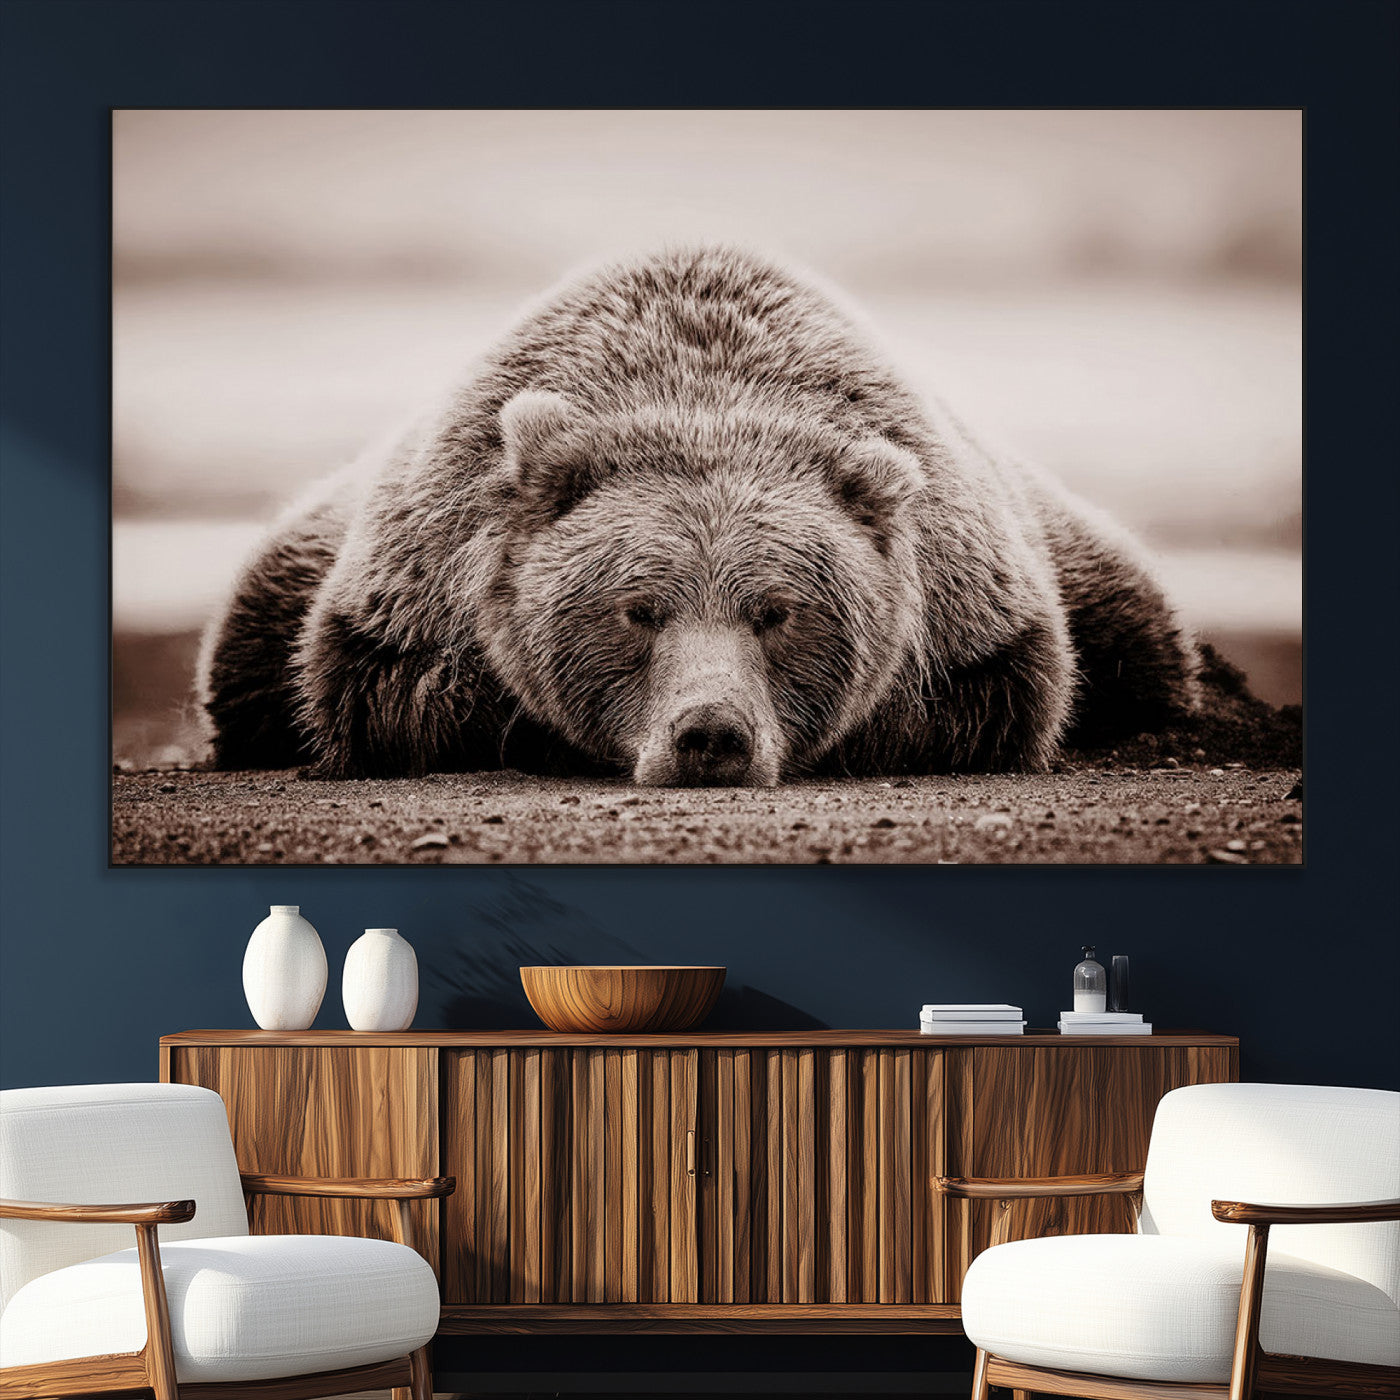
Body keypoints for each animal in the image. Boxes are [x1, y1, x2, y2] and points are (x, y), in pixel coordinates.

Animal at [198, 245, 1198, 786]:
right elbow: (388, 692)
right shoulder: (415, 581)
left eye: (779, 611)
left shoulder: (973, 601)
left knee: (1140, 629)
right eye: (637, 609)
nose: (711, 733)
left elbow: (998, 697)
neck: (702, 392)